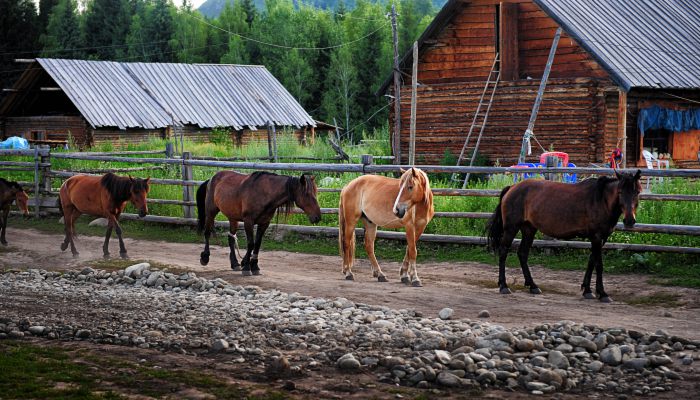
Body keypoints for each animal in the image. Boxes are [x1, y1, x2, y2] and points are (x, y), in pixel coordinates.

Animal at [486, 170, 644, 304]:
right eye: (620, 192)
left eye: (637, 192)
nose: (629, 220)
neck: (601, 200)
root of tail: (512, 187)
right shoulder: (597, 237)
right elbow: (599, 265)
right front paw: (603, 294)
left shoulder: (600, 239)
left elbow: (591, 262)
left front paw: (587, 290)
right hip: (511, 228)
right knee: (503, 252)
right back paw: (504, 286)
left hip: (529, 229)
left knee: (522, 253)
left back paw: (533, 286)